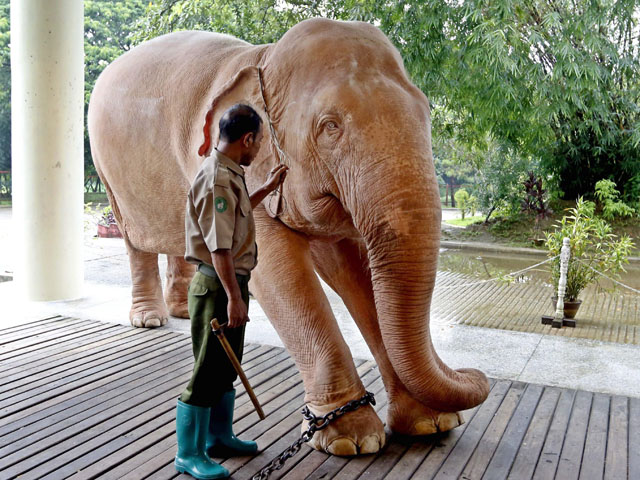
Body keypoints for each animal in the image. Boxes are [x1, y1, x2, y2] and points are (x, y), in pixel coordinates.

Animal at [89, 17, 490, 454]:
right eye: (330, 126)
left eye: (426, 112)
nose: (476, 373)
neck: (262, 58)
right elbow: (278, 273)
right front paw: (351, 440)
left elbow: (351, 268)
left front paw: (428, 424)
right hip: (107, 174)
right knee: (134, 239)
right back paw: (149, 320)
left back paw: (180, 311)